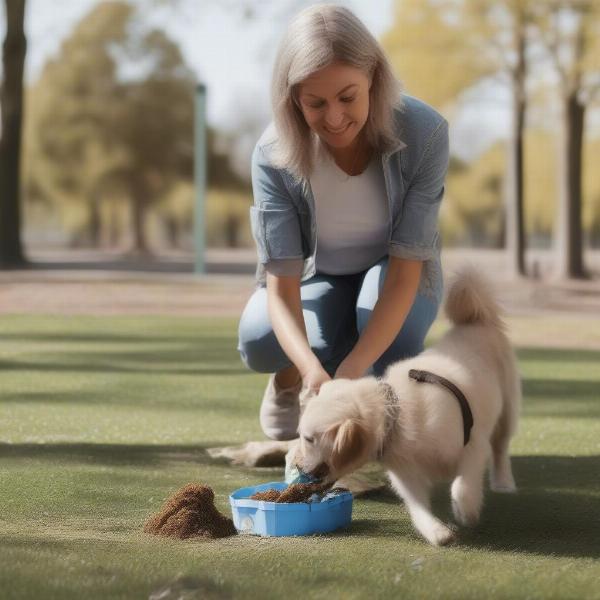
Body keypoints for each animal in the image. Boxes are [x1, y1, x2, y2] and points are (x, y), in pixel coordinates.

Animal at [296, 270, 520, 548]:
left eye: (308, 439)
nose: (299, 469)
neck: (395, 413)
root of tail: (474, 322)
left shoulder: (473, 445)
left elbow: (462, 486)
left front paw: (465, 511)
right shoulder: (405, 473)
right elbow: (417, 507)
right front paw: (437, 532)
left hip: (507, 407)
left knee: (500, 446)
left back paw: (503, 482)